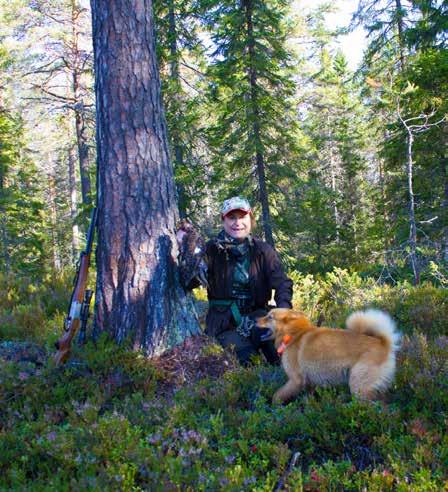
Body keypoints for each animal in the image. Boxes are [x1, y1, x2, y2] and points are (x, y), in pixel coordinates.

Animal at [258, 310, 400, 402]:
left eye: (270, 317)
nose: (255, 320)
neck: (294, 334)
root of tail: (383, 342)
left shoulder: (295, 380)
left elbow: (277, 395)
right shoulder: (309, 383)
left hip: (358, 386)